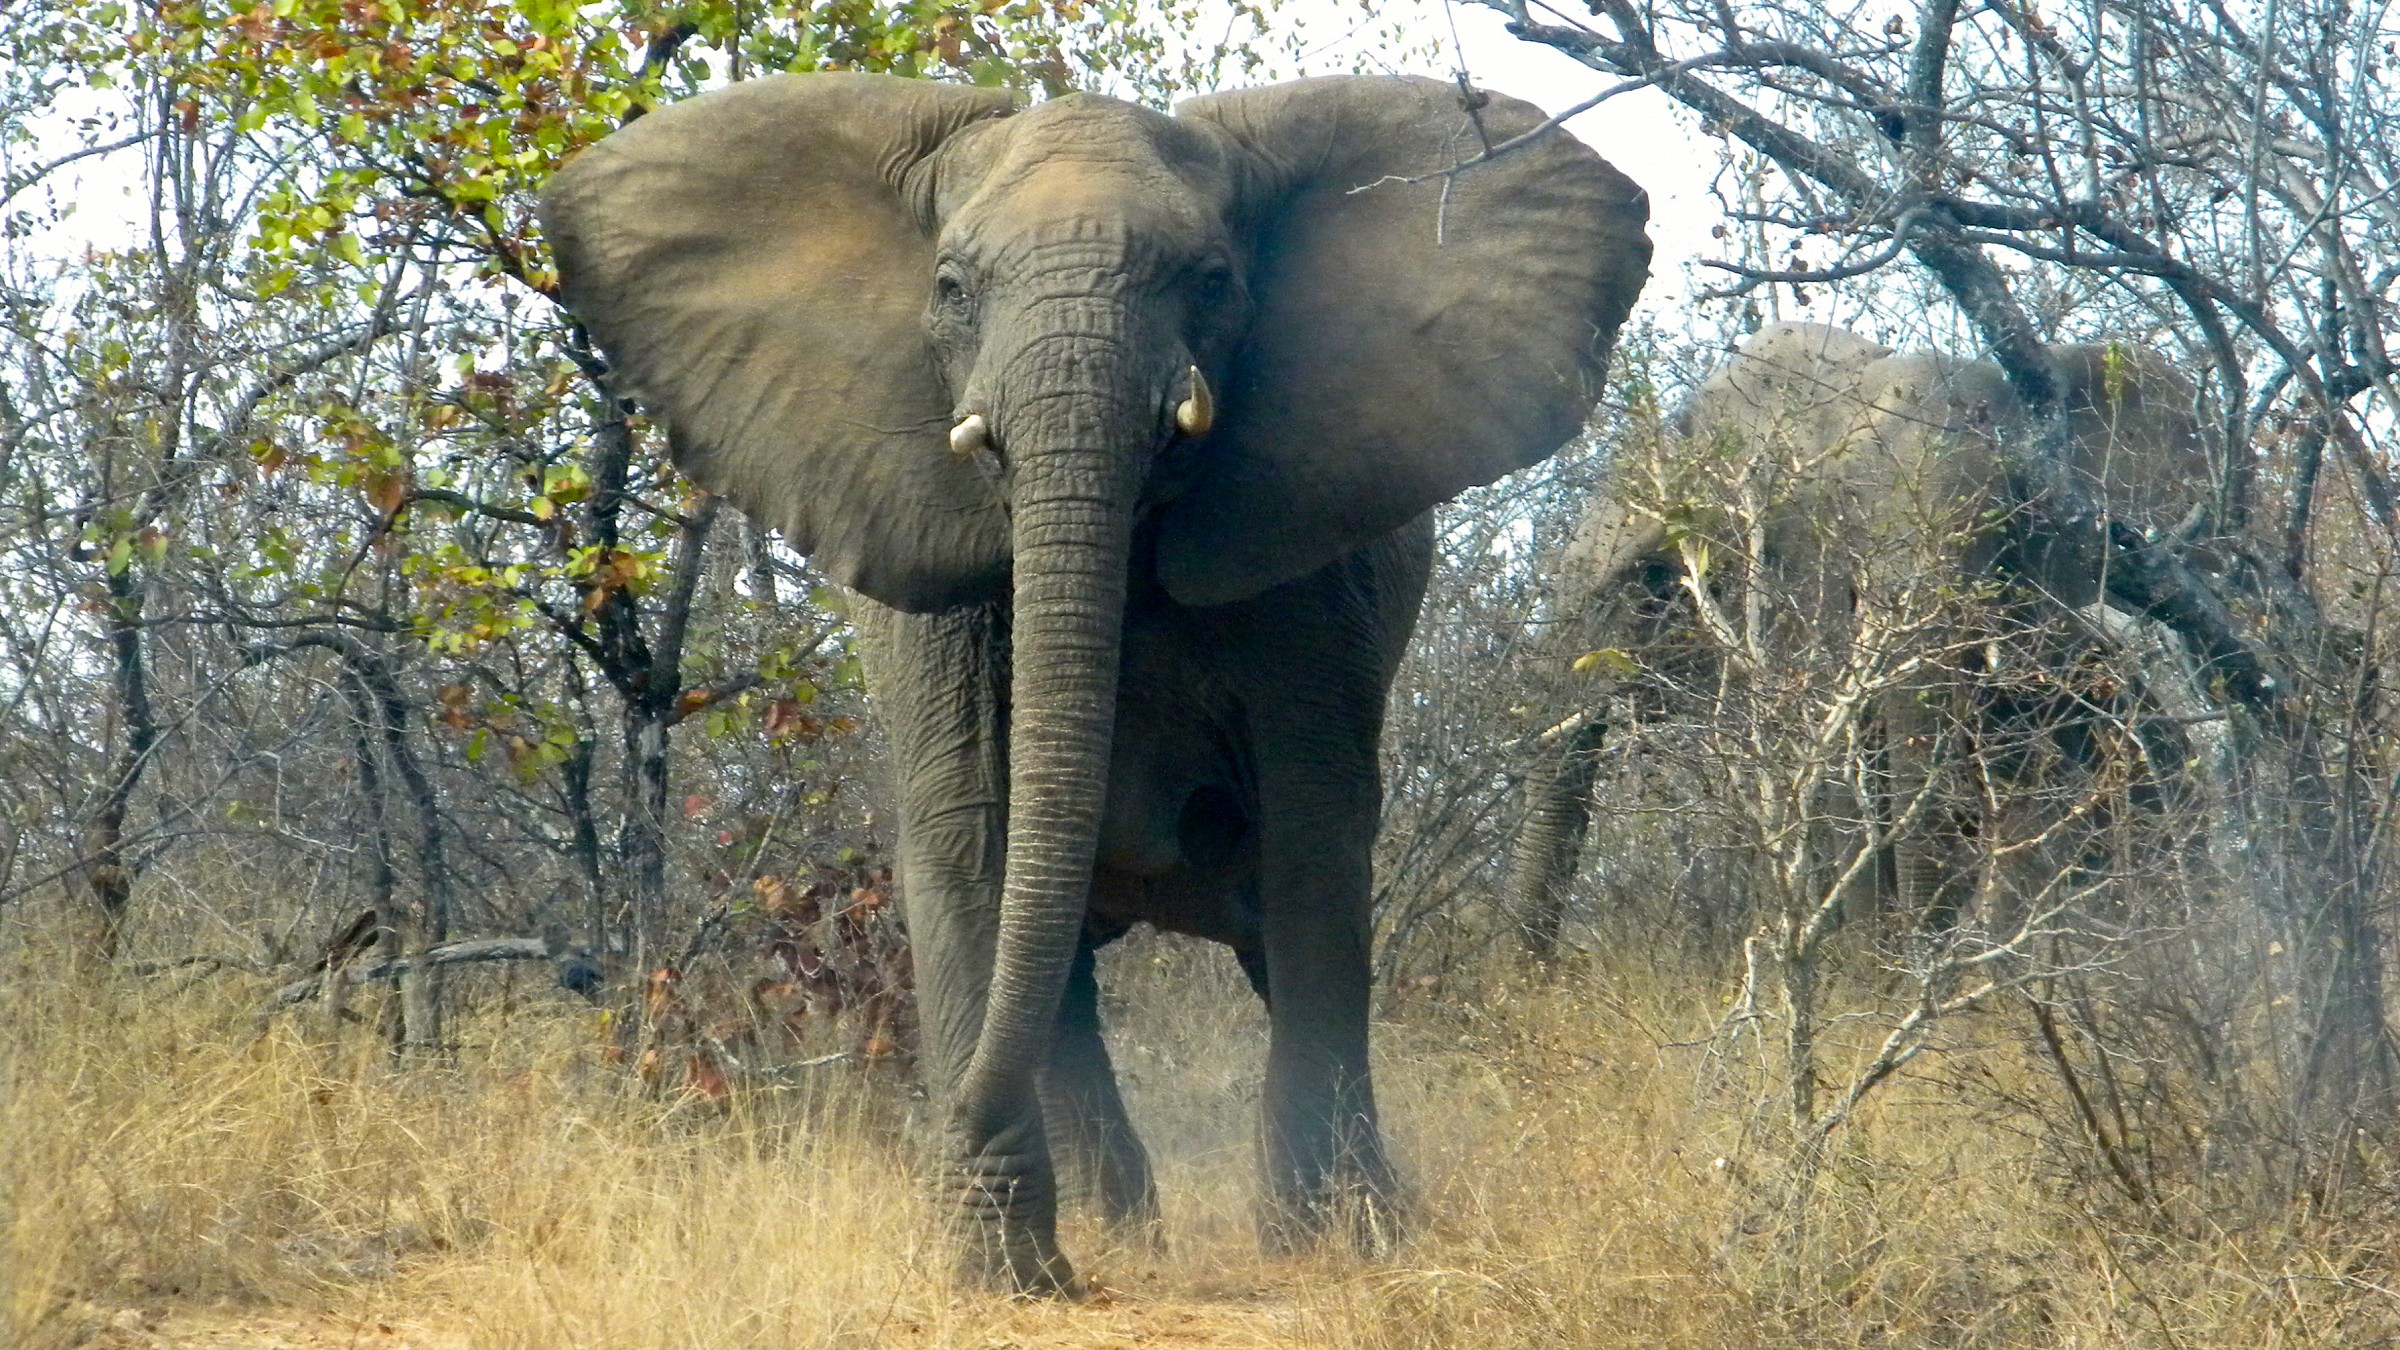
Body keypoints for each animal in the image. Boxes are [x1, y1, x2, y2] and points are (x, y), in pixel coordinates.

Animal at [541, 72, 1650, 1291]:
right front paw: (1000, 1276)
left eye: (1213, 281)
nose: (938, 1127)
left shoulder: (1313, 574)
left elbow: (1314, 837)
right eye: (951, 287)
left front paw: (1330, 1247)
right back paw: (1122, 1231)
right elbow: (970, 829)